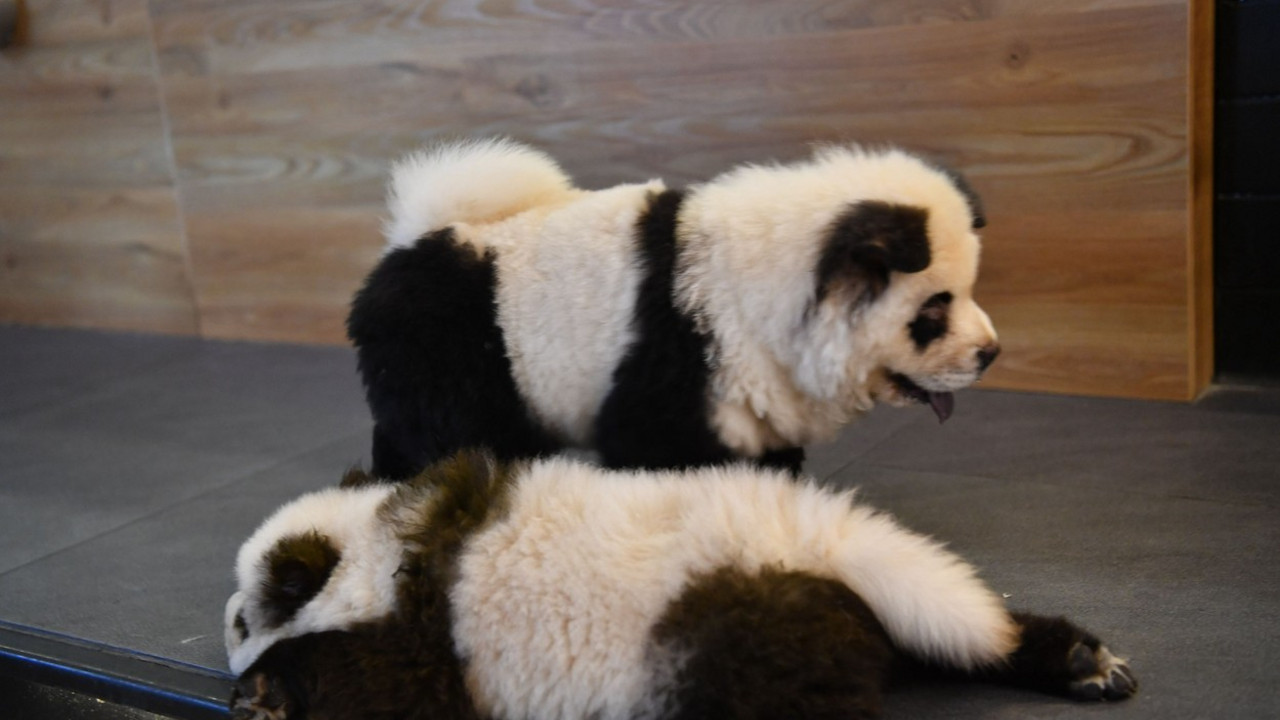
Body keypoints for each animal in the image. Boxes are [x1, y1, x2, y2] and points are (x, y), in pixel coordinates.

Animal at [225, 451, 1136, 720]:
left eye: (237, 621)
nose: (229, 628)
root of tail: (817, 539)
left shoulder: (421, 637)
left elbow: (383, 693)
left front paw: (270, 694)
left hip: (729, 641)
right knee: (954, 629)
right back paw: (1077, 660)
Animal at [347, 140, 1001, 479]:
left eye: (970, 291)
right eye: (934, 311)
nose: (991, 353)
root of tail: (417, 238)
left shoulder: (754, 399)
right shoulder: (677, 362)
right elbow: (652, 453)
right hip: (448, 349)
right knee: (450, 435)